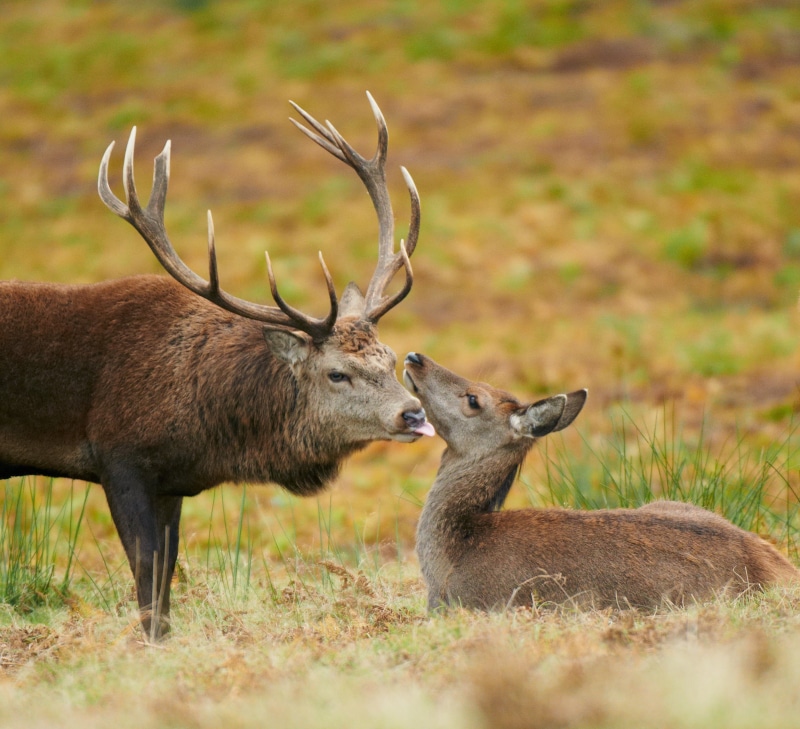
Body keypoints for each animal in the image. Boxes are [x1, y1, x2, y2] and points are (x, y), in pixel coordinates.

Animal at [0, 93, 436, 640]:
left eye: (392, 358)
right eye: (336, 373)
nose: (413, 413)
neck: (205, 427)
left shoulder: (170, 481)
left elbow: (167, 570)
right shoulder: (118, 455)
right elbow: (145, 567)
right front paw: (150, 643)